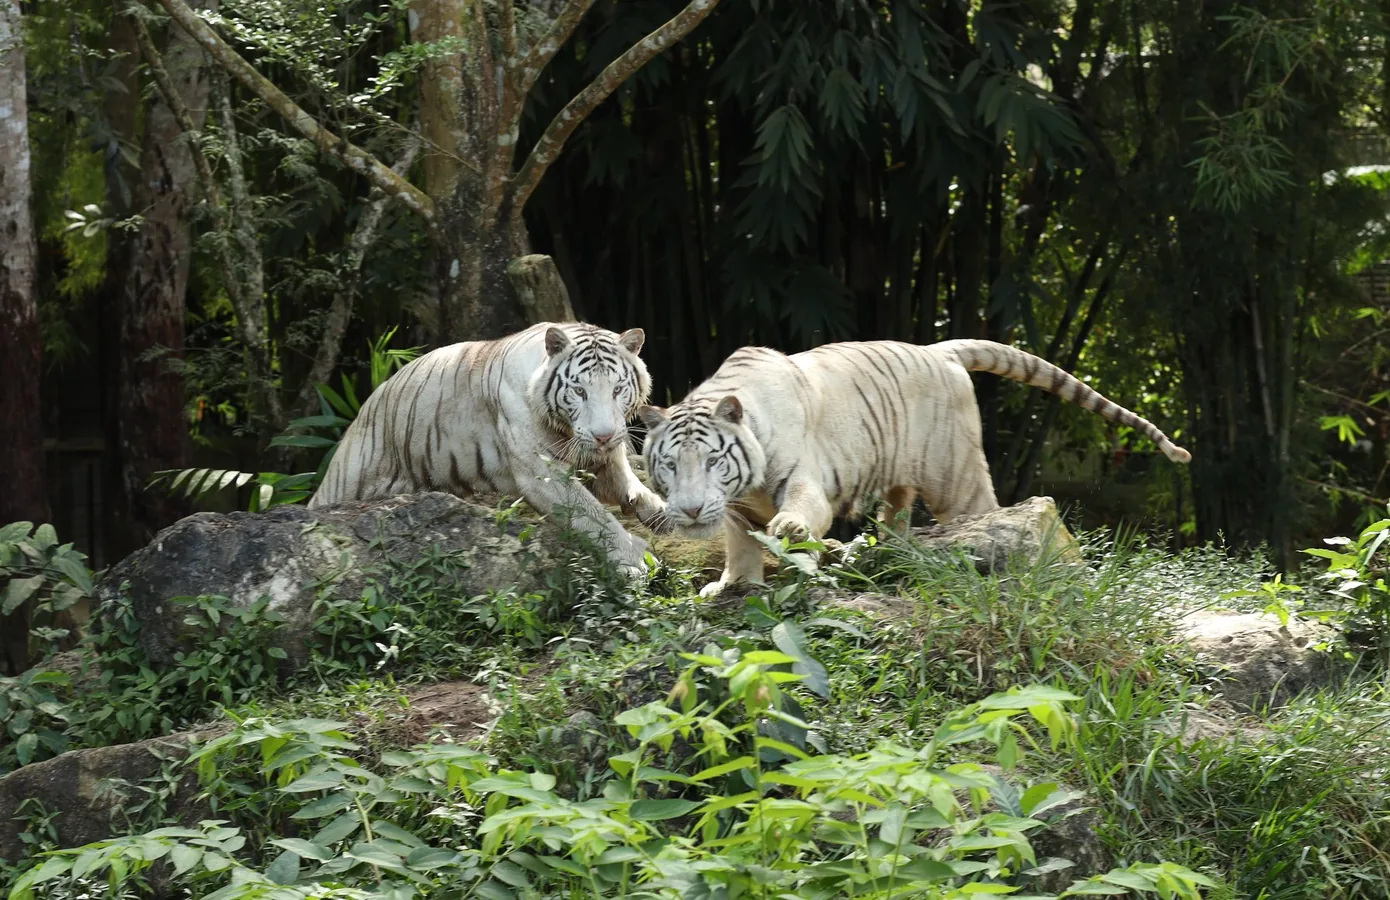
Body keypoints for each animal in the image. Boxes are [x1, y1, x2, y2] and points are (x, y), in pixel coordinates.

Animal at [309, 322, 668, 576]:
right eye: (579, 391)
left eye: (617, 389)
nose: (603, 436)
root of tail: (363, 410)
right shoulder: (542, 474)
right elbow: (593, 516)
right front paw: (634, 560)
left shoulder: (604, 458)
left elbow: (629, 484)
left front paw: (661, 511)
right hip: (348, 478)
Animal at [639, 339, 1191, 596]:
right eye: (669, 465)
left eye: (713, 460)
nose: (690, 511)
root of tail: (937, 348)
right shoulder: (734, 509)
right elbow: (738, 546)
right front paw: (733, 585)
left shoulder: (801, 473)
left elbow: (799, 508)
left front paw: (790, 529)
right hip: (898, 474)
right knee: (898, 513)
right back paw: (882, 549)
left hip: (956, 475)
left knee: (982, 510)